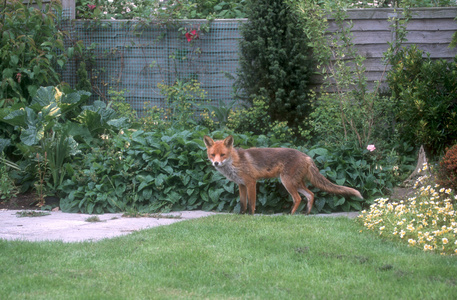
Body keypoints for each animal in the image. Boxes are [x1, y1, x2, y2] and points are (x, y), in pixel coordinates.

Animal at [204, 135, 364, 214]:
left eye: (223, 155)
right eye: (212, 155)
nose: (216, 163)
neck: (235, 162)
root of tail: (307, 156)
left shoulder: (251, 183)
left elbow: (252, 204)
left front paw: (250, 217)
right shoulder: (241, 185)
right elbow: (243, 204)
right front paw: (241, 216)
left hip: (287, 182)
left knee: (298, 198)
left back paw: (290, 215)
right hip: (296, 183)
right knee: (311, 195)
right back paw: (306, 214)